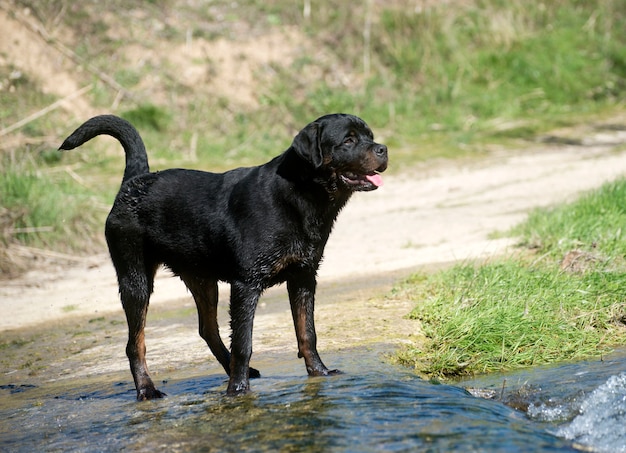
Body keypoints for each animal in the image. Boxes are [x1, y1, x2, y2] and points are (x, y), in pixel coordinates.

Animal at [61, 114, 388, 400]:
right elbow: (244, 341)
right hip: (135, 278)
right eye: (348, 140)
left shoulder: (304, 277)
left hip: (202, 277)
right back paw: (147, 390)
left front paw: (319, 372)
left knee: (207, 329)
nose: (382, 148)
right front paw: (238, 391)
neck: (301, 195)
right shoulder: (246, 283)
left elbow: (307, 332)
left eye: (370, 136)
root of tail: (135, 181)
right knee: (135, 343)